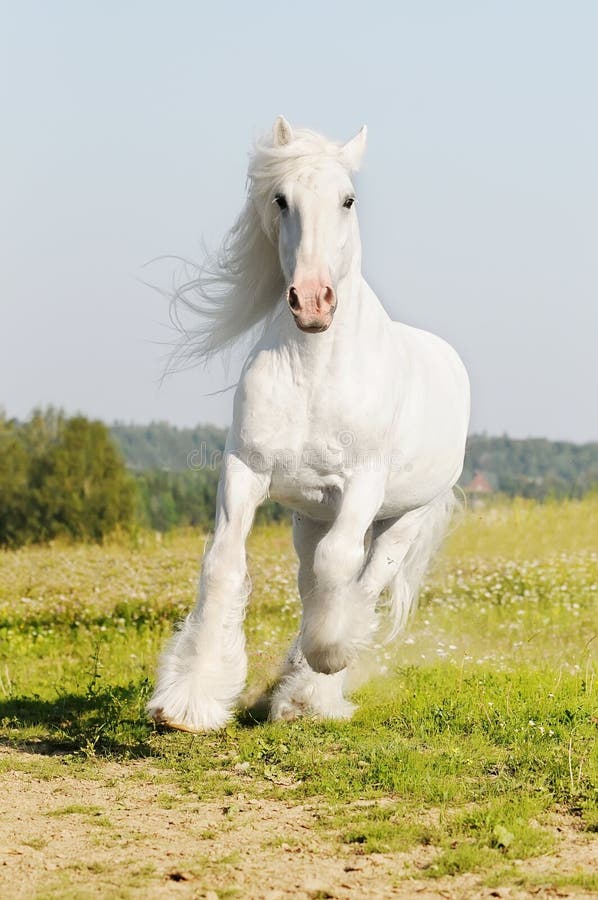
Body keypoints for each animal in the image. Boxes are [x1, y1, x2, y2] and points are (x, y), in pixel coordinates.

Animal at [148, 116, 472, 732]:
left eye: (348, 199)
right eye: (281, 199)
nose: (314, 302)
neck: (314, 372)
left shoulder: (362, 484)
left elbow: (341, 569)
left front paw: (327, 660)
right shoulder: (245, 472)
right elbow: (224, 564)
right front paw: (189, 701)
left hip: (403, 517)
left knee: (364, 582)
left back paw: (311, 691)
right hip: (308, 517)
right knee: (312, 584)